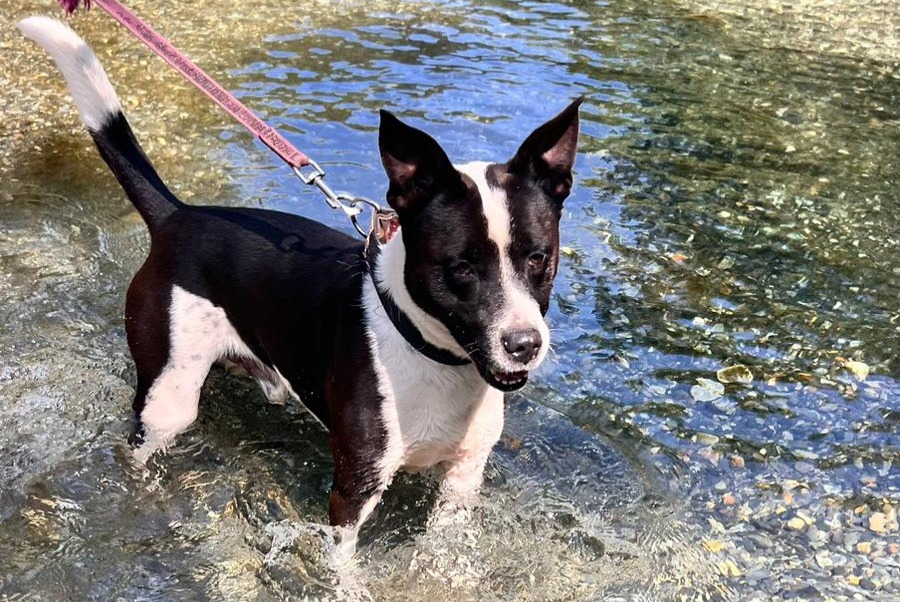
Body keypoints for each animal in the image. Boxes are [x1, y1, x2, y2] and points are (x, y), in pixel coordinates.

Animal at [21, 16, 584, 556]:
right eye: (461, 267)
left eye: (539, 258)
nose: (524, 345)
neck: (431, 354)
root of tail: (178, 216)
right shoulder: (353, 489)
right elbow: (343, 565)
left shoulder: (462, 480)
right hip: (167, 399)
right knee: (139, 446)